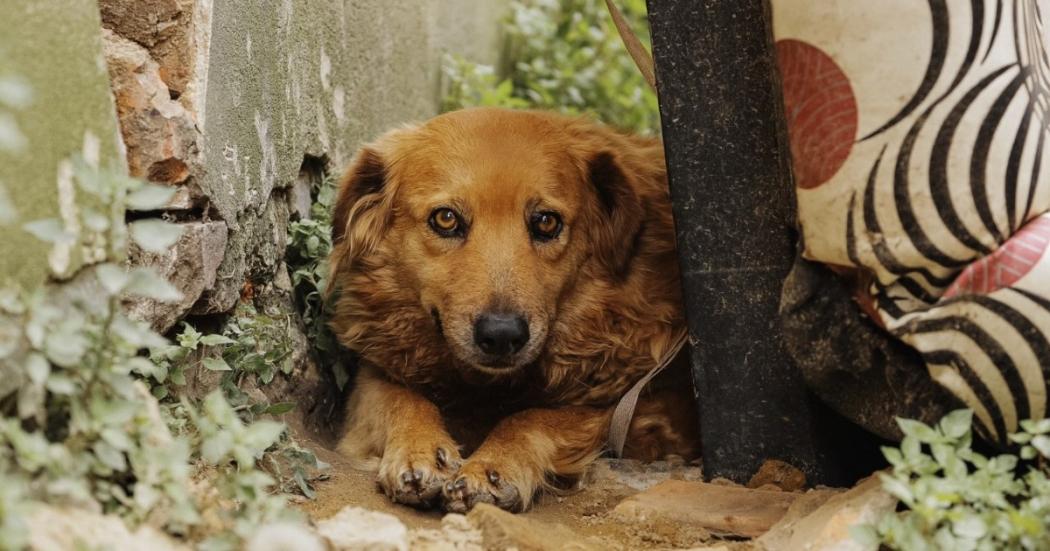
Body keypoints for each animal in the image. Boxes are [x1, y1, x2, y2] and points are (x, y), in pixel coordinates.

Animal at [329, 107, 697, 512]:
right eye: (446, 218)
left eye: (546, 222)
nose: (502, 336)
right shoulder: (376, 370)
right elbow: (401, 398)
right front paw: (418, 450)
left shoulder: (644, 404)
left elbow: (533, 417)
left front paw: (494, 465)